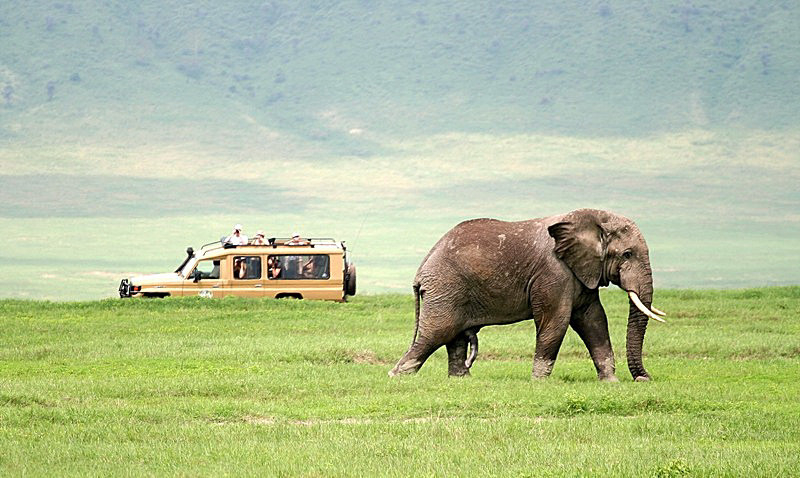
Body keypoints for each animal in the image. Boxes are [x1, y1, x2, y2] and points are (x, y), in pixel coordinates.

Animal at [388, 208, 666, 382]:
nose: (644, 378)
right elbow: (556, 322)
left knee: (454, 337)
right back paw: (397, 376)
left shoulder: (582, 272)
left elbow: (594, 320)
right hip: (445, 288)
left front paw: (610, 381)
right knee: (436, 333)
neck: (590, 218)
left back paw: (461, 380)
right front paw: (539, 382)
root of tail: (422, 268)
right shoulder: (553, 272)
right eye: (627, 254)